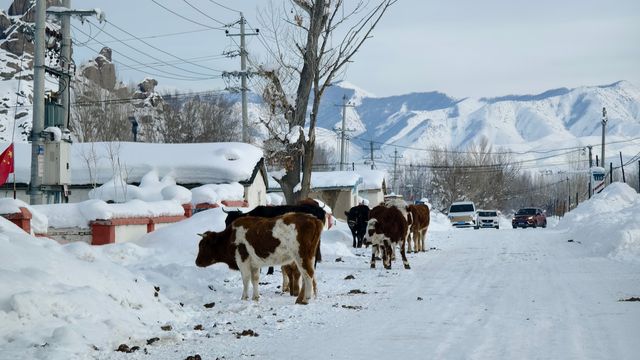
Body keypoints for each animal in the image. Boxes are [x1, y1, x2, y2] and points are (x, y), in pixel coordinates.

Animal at [195, 214, 324, 304]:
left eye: (203, 245)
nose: (197, 262)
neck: (231, 236)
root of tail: (313, 219)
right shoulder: (254, 264)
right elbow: (255, 279)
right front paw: (255, 297)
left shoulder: (243, 261)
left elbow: (246, 279)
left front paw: (244, 297)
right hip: (308, 258)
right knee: (309, 275)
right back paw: (301, 299)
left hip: (301, 256)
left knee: (308, 275)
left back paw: (306, 299)